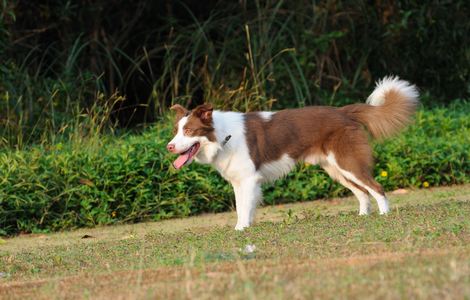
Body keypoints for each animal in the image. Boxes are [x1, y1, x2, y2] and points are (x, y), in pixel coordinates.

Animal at [166, 77, 418, 230]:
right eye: (176, 131)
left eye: (189, 131)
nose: (169, 146)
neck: (222, 137)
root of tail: (343, 111)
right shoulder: (241, 181)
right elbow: (243, 207)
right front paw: (245, 226)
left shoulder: (248, 179)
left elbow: (243, 207)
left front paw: (241, 230)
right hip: (336, 169)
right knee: (362, 192)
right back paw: (363, 216)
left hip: (348, 162)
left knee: (376, 188)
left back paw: (384, 215)